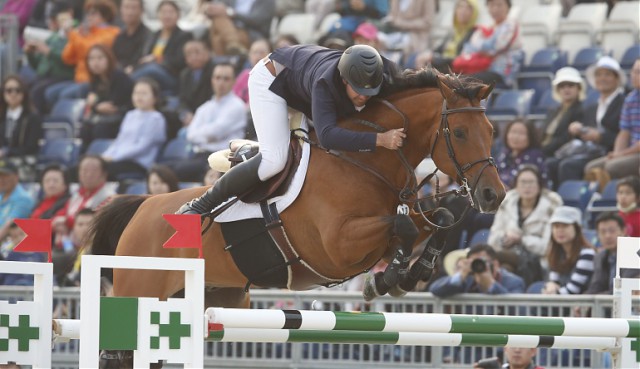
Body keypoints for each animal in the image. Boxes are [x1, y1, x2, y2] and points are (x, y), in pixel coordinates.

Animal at [89, 69, 504, 366]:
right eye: (460, 132)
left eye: (491, 130)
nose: (493, 195)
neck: (365, 162)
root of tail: (141, 206)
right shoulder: (338, 246)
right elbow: (402, 226)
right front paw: (387, 279)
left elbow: (439, 218)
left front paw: (412, 273)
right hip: (141, 292)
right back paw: (192, 211)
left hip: (212, 299)